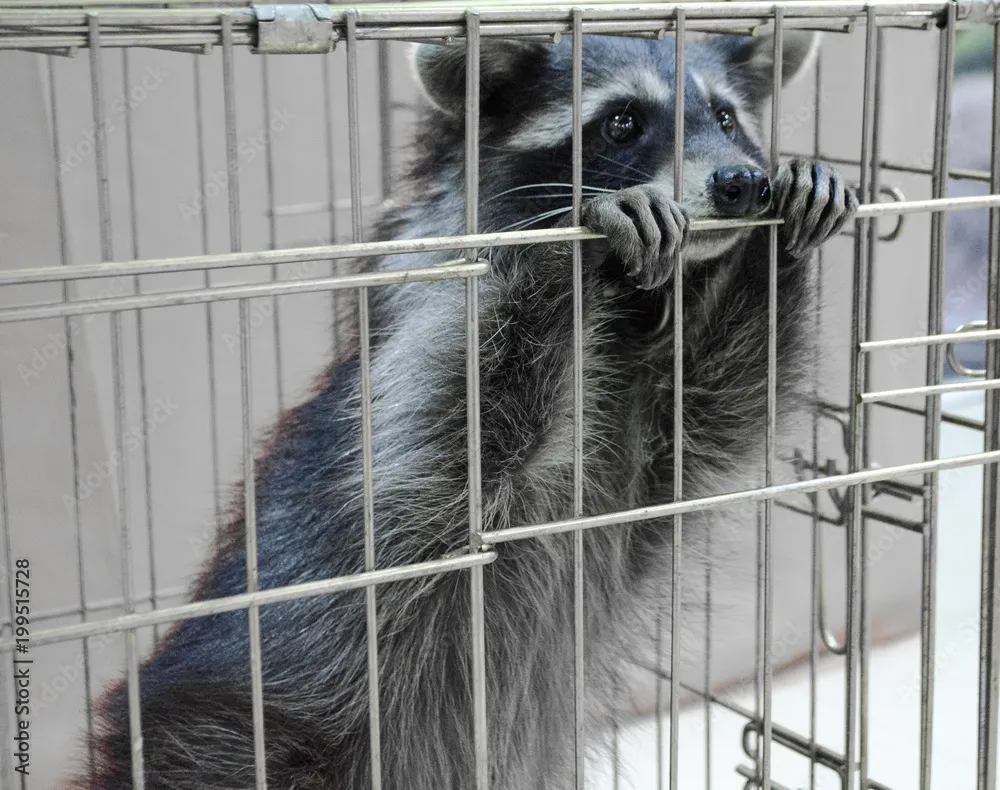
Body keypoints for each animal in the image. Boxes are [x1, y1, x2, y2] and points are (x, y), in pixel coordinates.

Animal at [76, 29, 860, 790]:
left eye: (725, 117)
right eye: (622, 121)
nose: (741, 183)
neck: (624, 306)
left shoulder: (641, 464)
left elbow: (720, 411)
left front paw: (774, 243)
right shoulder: (405, 384)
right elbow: (456, 428)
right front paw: (567, 242)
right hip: (236, 734)